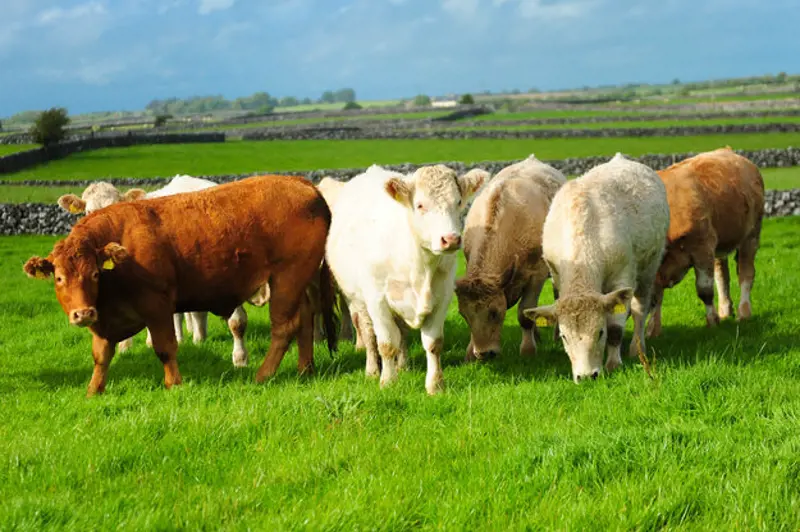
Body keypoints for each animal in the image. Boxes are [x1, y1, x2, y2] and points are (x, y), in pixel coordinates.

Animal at [326, 164, 487, 395]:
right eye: (420, 205)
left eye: (458, 202)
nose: (450, 239)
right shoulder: (377, 300)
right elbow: (386, 343)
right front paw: (387, 381)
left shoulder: (443, 297)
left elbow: (433, 343)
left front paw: (435, 385)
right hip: (356, 299)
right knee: (367, 332)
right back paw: (372, 370)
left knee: (401, 331)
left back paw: (403, 365)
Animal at [455, 154, 566, 362]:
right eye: (464, 315)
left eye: (495, 313)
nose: (484, 354)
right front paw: (469, 353)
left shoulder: (537, 274)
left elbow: (524, 313)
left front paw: (528, 350)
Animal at [522, 153, 670, 383]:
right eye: (564, 337)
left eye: (600, 332)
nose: (585, 376)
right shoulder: (557, 277)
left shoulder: (622, 276)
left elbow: (616, 328)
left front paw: (613, 363)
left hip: (649, 267)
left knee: (640, 309)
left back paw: (637, 348)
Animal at [647, 147, 765, 337]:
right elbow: (656, 295)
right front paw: (653, 329)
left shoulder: (702, 248)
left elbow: (705, 290)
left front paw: (712, 321)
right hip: (719, 244)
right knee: (722, 274)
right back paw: (725, 310)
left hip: (751, 234)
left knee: (746, 273)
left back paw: (744, 312)